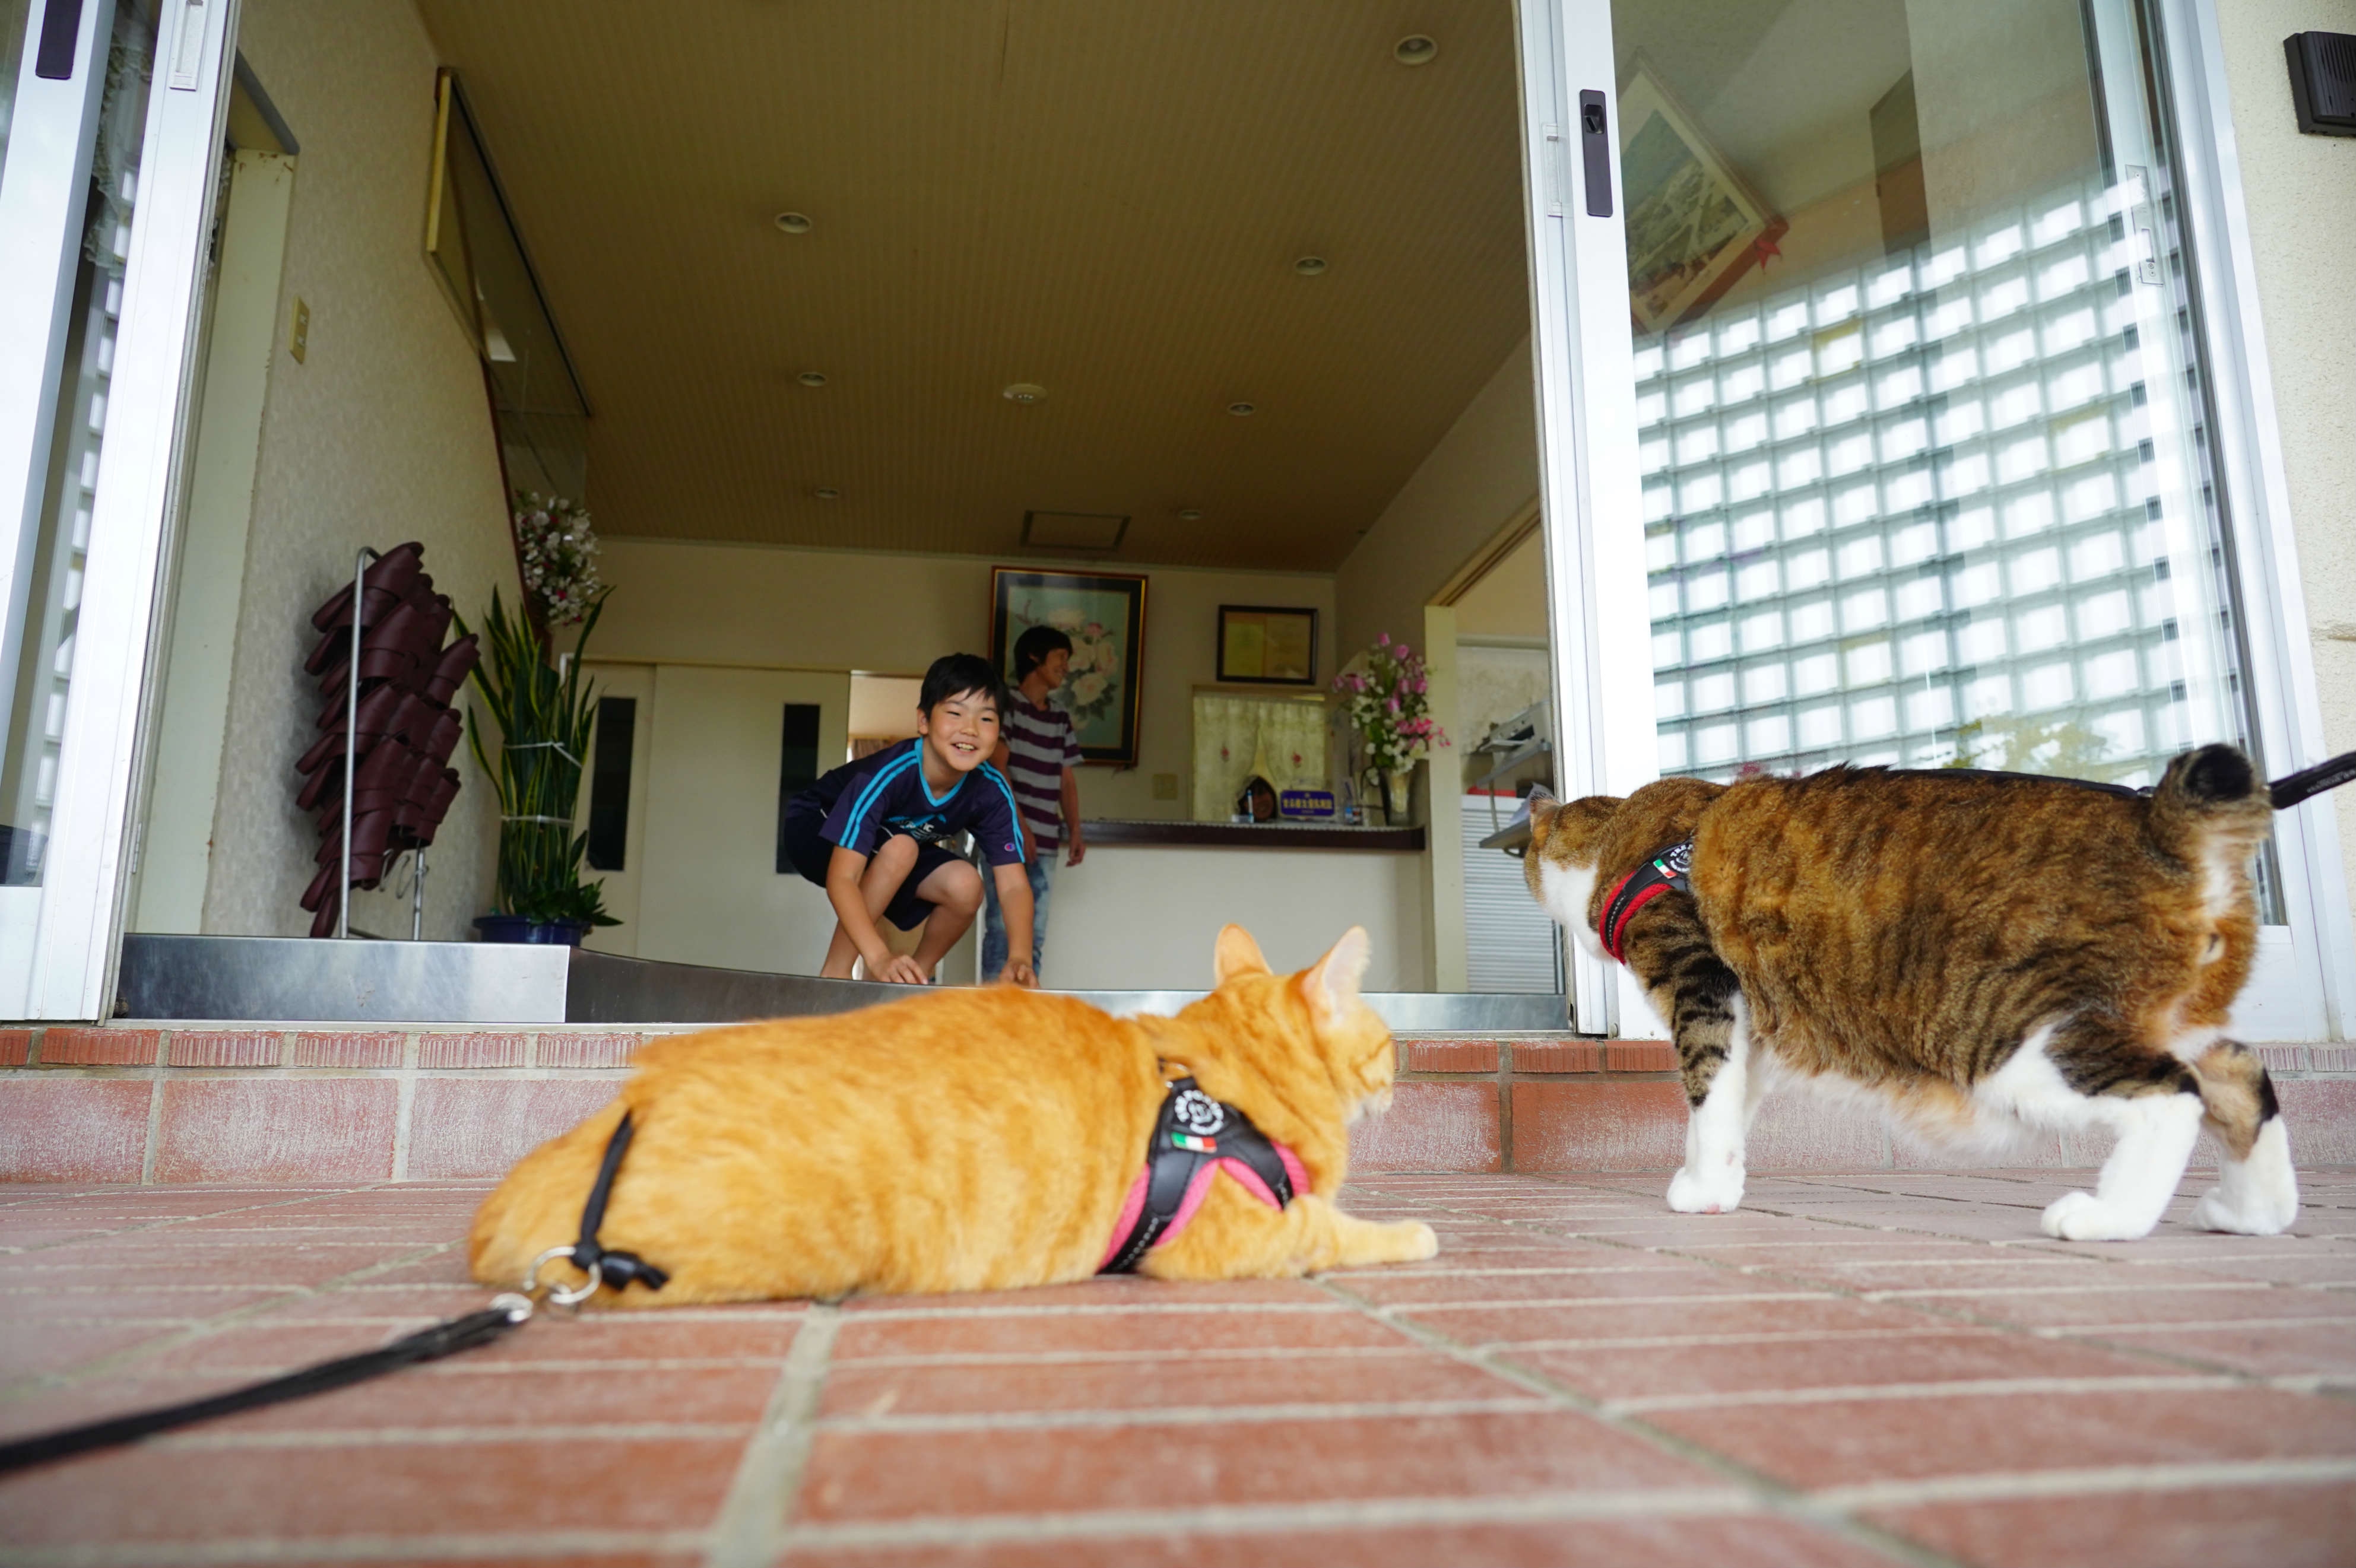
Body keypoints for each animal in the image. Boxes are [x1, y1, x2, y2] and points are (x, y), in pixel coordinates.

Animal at [468, 923, 1432, 1299]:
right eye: (1388, 1040)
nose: (1399, 1070)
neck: (1216, 1082)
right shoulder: (1232, 1239)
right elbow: (1336, 1227)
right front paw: (1413, 1232)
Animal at [1517, 739, 2290, 1243]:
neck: (1629, 836)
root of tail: (2163, 827)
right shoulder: (1752, 1023)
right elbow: (1731, 1103)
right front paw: (1721, 1184)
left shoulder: (1702, 981)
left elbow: (1706, 1089)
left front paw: (1701, 1191)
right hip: (2177, 1021)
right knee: (2242, 1078)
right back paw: (2252, 1213)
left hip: (2017, 1041)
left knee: (2172, 1094)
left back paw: (2106, 1218)